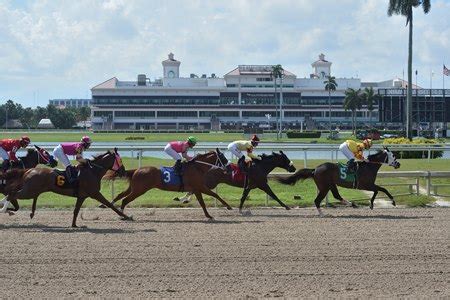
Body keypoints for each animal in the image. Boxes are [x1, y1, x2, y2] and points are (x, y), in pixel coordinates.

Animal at [1, 148, 132, 227]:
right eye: (120, 160)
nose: (123, 171)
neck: (93, 171)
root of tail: (29, 170)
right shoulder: (95, 193)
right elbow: (110, 204)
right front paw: (127, 216)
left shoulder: (82, 196)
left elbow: (76, 210)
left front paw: (74, 225)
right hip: (29, 191)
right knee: (11, 194)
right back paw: (4, 209)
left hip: (31, 191)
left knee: (11, 193)